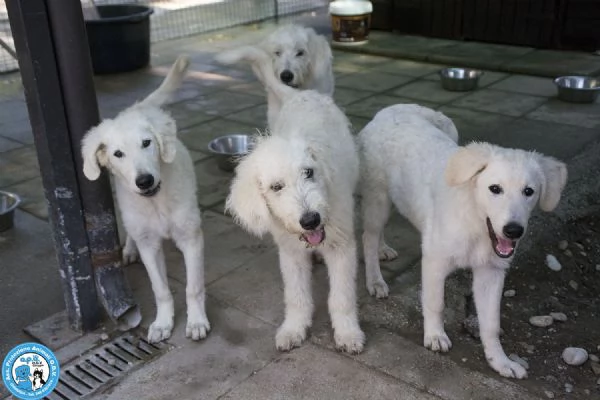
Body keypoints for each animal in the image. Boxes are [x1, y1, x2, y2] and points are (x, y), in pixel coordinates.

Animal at [79, 55, 211, 344]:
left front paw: (196, 321)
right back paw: (129, 250)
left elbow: (193, 286)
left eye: (147, 143)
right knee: (131, 231)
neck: (156, 201)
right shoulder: (149, 245)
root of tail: (137, 108)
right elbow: (160, 288)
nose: (144, 181)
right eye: (118, 154)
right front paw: (163, 323)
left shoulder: (191, 237)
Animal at [226, 46, 364, 354]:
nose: (310, 220)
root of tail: (299, 94)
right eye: (276, 187)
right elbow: (296, 295)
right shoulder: (290, 252)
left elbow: (342, 297)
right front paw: (293, 329)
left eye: (309, 172)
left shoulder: (342, 246)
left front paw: (348, 333)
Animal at [360, 104, 568, 378]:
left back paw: (384, 249)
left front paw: (500, 361)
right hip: (378, 198)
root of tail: (391, 109)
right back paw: (375, 280)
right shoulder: (434, 261)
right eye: (495, 189)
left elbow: (491, 324)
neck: (476, 224)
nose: (513, 231)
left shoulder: (491, 273)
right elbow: (435, 302)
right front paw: (435, 336)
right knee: (369, 236)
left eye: (529, 192)